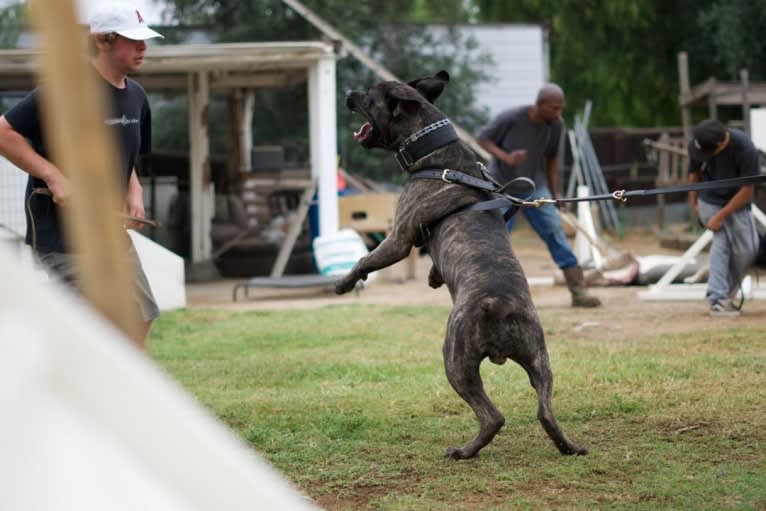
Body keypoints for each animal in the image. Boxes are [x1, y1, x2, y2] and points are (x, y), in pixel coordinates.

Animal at [338, 71, 588, 460]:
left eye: (370, 95)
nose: (349, 92)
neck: (436, 155)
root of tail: (499, 304)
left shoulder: (398, 238)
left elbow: (366, 258)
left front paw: (345, 282)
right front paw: (432, 277)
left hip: (455, 362)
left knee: (492, 416)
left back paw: (464, 452)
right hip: (540, 361)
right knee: (545, 411)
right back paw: (568, 446)